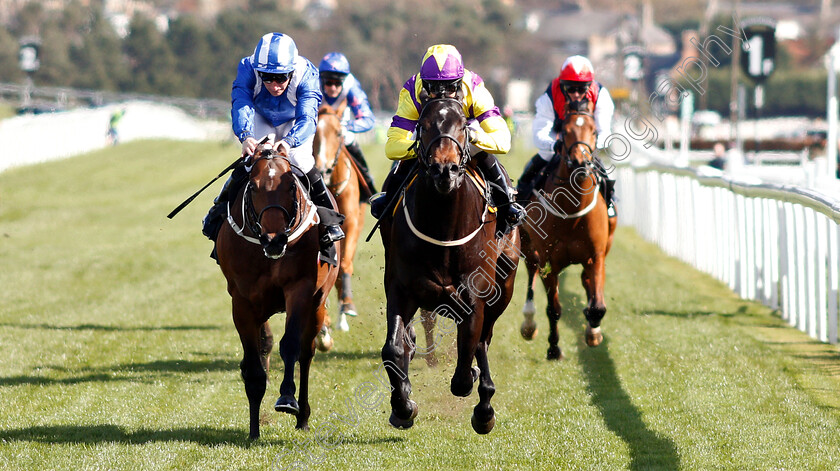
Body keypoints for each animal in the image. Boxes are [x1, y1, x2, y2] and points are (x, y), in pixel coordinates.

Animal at [217, 142, 342, 440]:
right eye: (253, 187)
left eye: (290, 186)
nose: (274, 240)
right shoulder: (242, 302)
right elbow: (255, 362)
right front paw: (253, 429)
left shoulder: (300, 289)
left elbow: (291, 345)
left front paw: (287, 398)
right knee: (265, 346)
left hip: (317, 303)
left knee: (306, 353)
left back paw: (303, 416)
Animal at [378, 96, 520, 436]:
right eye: (424, 125)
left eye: (462, 125)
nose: (445, 170)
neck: (443, 227)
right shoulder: (401, 289)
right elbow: (393, 349)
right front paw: (403, 406)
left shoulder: (474, 296)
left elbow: (467, 356)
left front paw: (478, 395)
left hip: (505, 284)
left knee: (483, 339)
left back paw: (484, 407)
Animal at [520, 97, 616, 360]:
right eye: (565, 130)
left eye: (593, 130)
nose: (581, 163)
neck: (572, 214)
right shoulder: (548, 261)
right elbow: (553, 308)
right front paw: (554, 348)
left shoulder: (597, 255)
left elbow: (598, 306)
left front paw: (593, 332)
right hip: (527, 246)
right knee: (530, 273)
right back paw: (528, 322)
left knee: (586, 281)